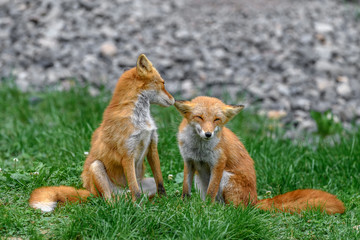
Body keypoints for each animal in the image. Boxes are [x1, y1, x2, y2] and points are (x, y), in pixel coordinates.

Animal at [29, 54, 174, 212]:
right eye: (163, 83)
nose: (174, 100)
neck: (140, 119)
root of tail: (90, 191)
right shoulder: (127, 154)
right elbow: (136, 191)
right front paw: (140, 210)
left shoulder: (152, 145)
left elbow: (160, 182)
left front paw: (165, 201)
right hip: (96, 168)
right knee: (110, 200)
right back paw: (120, 208)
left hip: (146, 183)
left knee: (136, 193)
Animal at [174, 96, 346, 215]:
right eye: (199, 117)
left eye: (217, 119)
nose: (208, 134)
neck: (199, 149)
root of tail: (255, 201)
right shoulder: (189, 161)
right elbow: (185, 189)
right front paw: (183, 206)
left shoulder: (218, 164)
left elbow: (211, 191)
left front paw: (206, 211)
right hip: (200, 179)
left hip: (227, 178)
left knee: (236, 209)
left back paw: (223, 211)